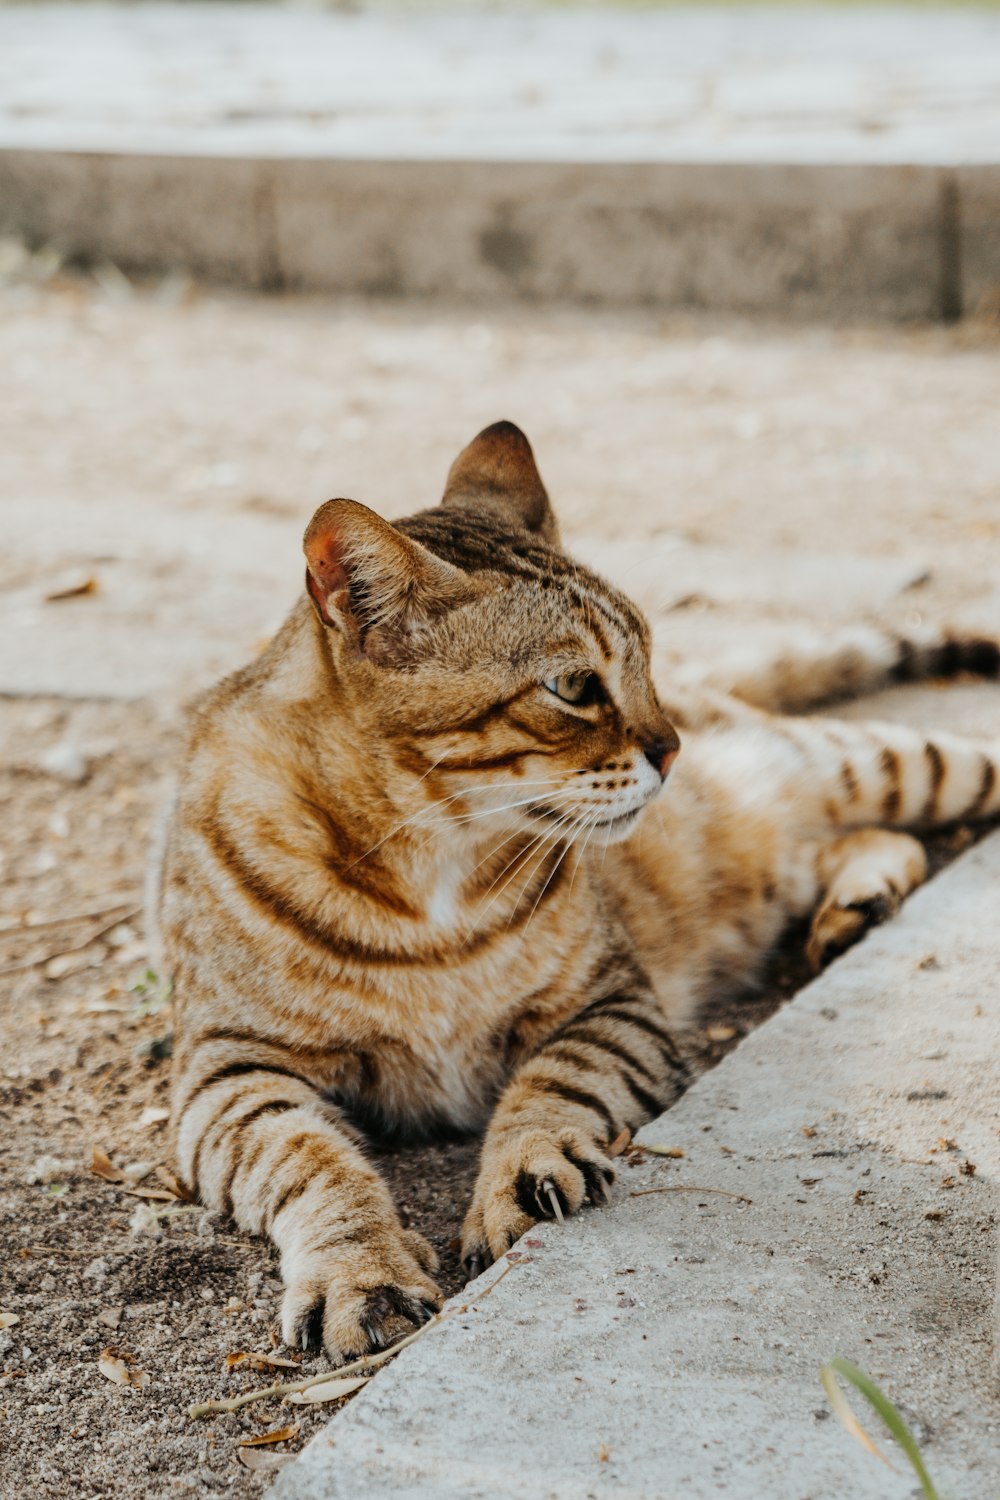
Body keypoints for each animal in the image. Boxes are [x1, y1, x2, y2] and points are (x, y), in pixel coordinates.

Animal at [156, 420, 1000, 1362]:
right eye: (573, 687)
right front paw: (359, 1271)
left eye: (646, 657)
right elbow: (312, 1162)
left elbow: (554, 1086)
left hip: (882, 766)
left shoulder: (613, 1004)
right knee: (859, 844)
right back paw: (854, 904)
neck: (429, 868)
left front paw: (522, 1174)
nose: (673, 746)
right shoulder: (231, 1070)